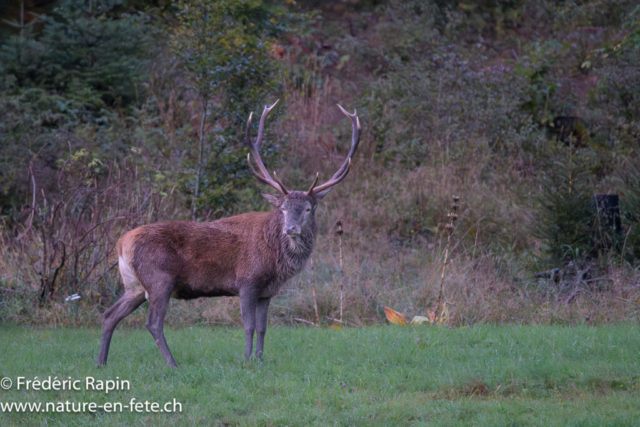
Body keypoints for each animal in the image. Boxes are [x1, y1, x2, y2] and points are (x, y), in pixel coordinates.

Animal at [97, 101, 360, 367]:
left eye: (308, 208)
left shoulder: (267, 292)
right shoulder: (247, 281)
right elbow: (249, 325)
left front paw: (260, 359)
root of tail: (122, 242)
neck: (276, 261)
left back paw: (101, 362)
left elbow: (263, 328)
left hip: (134, 285)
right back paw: (172, 364)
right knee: (153, 323)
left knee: (109, 315)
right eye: (283, 208)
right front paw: (246, 359)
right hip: (159, 278)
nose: (290, 229)